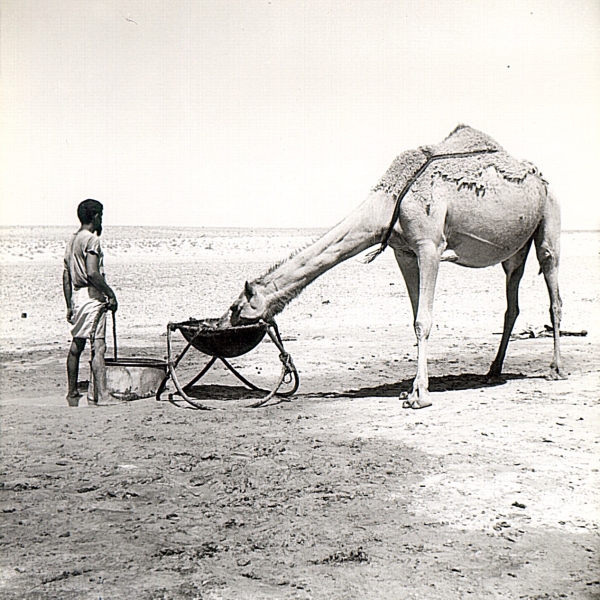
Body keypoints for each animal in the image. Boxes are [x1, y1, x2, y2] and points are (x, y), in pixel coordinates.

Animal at [218, 126, 564, 408]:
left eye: (236, 307)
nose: (219, 324)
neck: (390, 200)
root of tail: (542, 179)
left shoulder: (429, 245)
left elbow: (423, 320)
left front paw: (420, 395)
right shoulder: (404, 252)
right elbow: (414, 319)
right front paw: (410, 389)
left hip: (549, 218)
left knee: (553, 291)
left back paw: (555, 369)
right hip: (514, 251)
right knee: (512, 304)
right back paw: (493, 370)